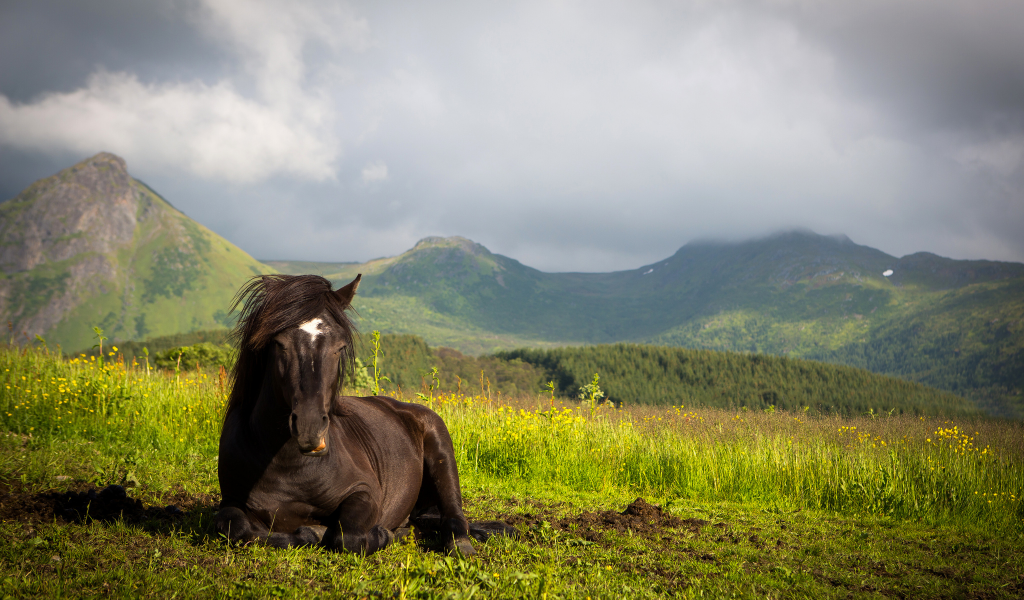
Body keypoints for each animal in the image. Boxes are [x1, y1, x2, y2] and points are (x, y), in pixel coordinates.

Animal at [214, 272, 485, 552]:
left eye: (340, 347)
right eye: (279, 343)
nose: (310, 429)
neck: (287, 464)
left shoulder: (364, 491)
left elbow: (348, 535)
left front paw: (380, 534)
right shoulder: (231, 500)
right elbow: (236, 527)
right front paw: (308, 532)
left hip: (441, 452)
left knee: (453, 515)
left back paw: (456, 543)